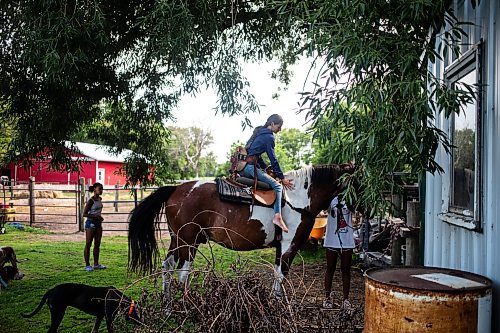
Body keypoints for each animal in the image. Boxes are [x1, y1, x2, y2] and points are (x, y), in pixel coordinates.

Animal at [128, 162, 356, 294]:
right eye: (358, 179)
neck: (298, 199)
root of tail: (176, 189)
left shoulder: (281, 247)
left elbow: (277, 273)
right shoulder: (289, 244)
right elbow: (281, 274)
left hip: (177, 239)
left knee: (167, 267)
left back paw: (168, 303)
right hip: (188, 242)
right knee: (183, 273)